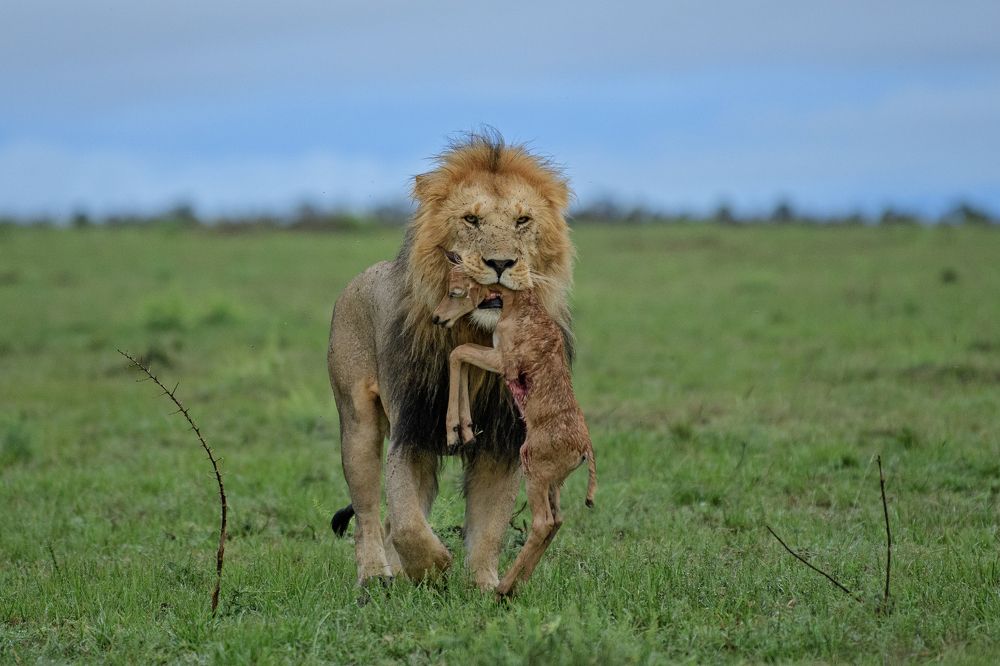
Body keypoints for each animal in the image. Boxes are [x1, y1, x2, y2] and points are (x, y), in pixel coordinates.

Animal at [327, 130, 574, 590]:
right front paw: (433, 566)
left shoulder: (502, 441)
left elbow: (489, 525)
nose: (501, 263)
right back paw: (375, 576)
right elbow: (406, 523)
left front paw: (485, 586)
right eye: (471, 220)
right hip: (357, 422)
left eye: (522, 221)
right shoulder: (412, 431)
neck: (475, 330)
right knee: (368, 515)